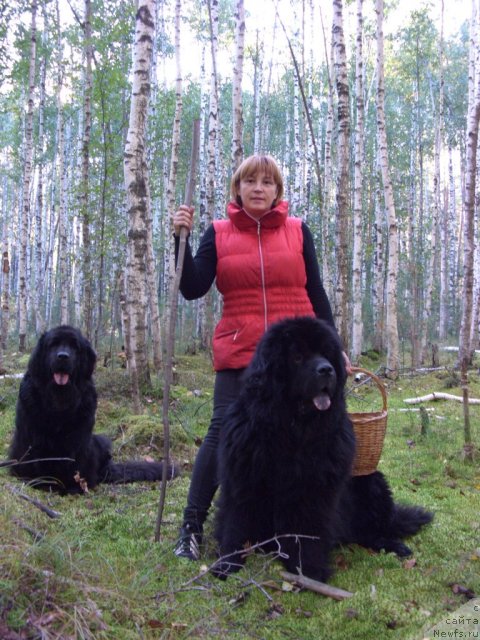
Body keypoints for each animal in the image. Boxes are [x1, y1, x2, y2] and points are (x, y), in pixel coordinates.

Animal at [8, 324, 178, 496]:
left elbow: (75, 460)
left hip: (101, 442)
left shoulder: (80, 435)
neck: (59, 399)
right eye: (53, 344)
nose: (63, 356)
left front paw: (75, 486)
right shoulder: (31, 431)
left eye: (75, 347)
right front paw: (37, 481)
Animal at [214, 318, 432, 584]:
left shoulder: (315, 490)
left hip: (372, 483)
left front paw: (308, 571)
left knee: (376, 529)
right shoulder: (242, 478)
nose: (327, 370)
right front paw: (227, 564)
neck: (293, 429)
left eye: (326, 354)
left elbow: (307, 530)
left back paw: (394, 545)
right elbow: (236, 522)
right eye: (297, 356)